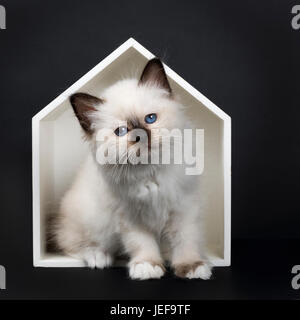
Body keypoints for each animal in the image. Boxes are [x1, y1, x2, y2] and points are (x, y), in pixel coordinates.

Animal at [54, 58, 213, 278]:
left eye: (150, 119)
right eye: (121, 131)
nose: (140, 135)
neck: (150, 174)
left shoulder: (184, 208)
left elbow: (185, 240)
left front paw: (191, 266)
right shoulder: (130, 217)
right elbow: (142, 244)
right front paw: (148, 266)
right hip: (90, 220)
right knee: (72, 245)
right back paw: (99, 257)